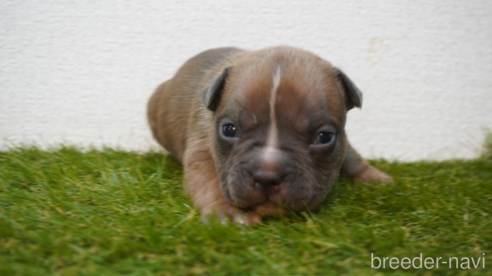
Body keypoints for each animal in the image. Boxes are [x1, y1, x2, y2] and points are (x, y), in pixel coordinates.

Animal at [147, 46, 392, 225]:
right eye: (229, 130)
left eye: (324, 137)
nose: (266, 176)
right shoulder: (202, 147)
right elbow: (209, 179)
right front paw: (228, 213)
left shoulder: (343, 140)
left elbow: (353, 158)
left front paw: (375, 178)